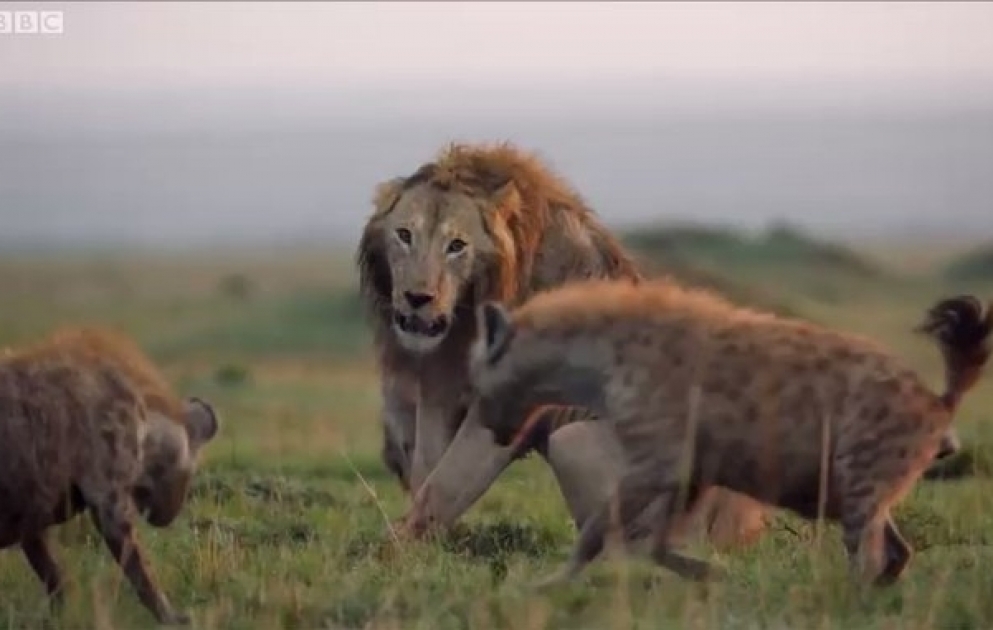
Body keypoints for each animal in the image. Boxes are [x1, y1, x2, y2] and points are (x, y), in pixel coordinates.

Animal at [355, 141, 772, 549]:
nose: (417, 298)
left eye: (456, 246)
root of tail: (743, 529)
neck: (467, 313)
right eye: (404, 235)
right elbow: (426, 468)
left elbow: (447, 479)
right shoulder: (438, 381)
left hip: (580, 443)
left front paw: (392, 549)